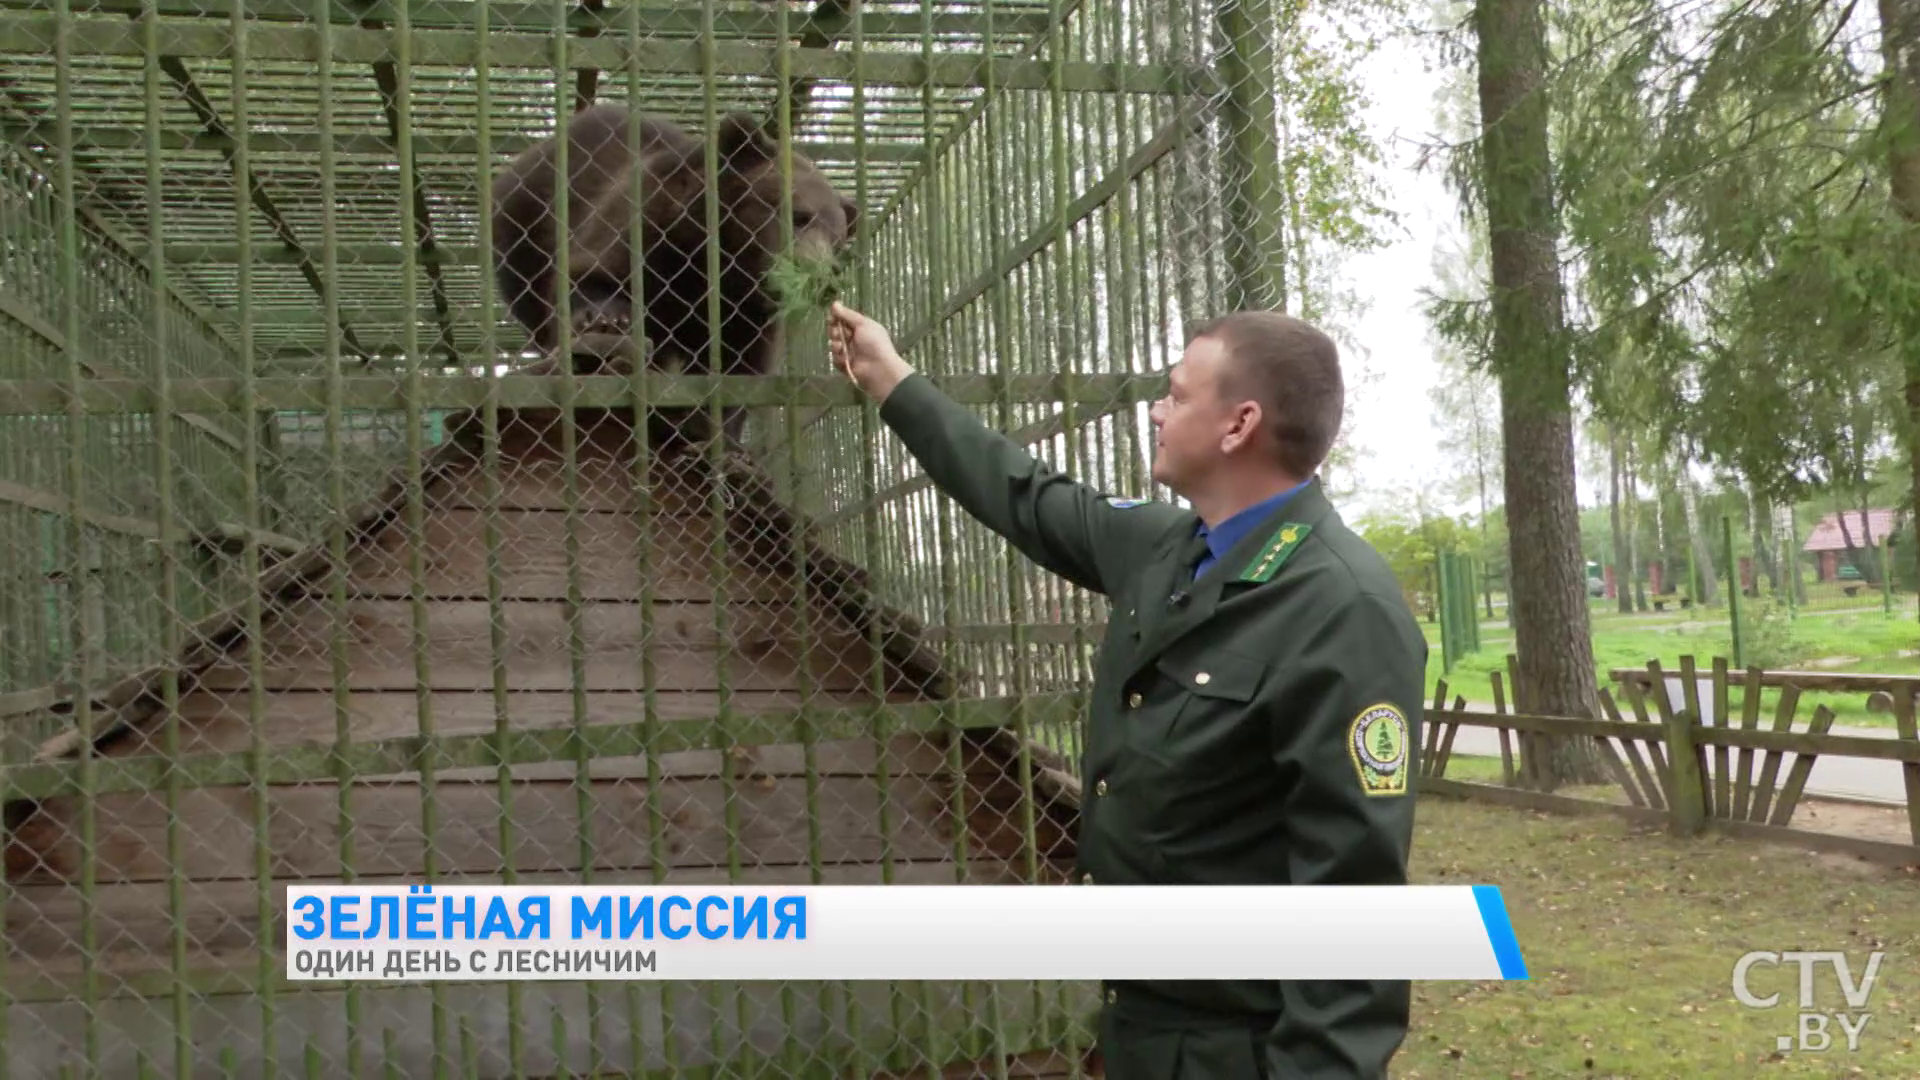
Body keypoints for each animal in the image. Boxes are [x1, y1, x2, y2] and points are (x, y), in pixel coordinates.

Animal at [491, 105, 860, 449]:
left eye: (837, 241)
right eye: (800, 216)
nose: (822, 278)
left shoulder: (747, 315)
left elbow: (740, 369)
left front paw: (713, 430)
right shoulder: (644, 227)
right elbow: (590, 271)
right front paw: (606, 318)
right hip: (523, 223)